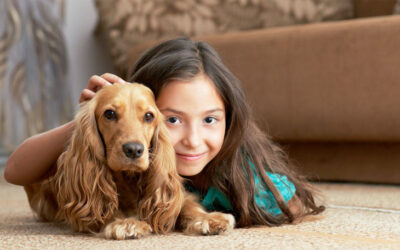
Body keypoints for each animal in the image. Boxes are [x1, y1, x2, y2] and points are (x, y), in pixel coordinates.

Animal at [23, 83, 236, 239]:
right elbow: (106, 207)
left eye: (149, 116)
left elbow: (186, 205)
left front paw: (209, 219)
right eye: (109, 114)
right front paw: (127, 223)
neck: (129, 179)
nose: (134, 149)